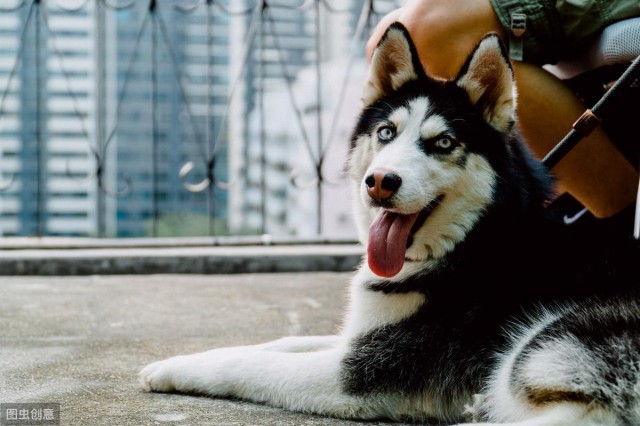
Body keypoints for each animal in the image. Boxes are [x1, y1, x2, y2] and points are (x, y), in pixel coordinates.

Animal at [141, 24, 640, 426]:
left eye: (443, 143)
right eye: (386, 133)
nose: (380, 182)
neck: (474, 242)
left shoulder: (363, 372)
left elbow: (250, 367)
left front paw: (176, 368)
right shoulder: (362, 338)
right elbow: (279, 342)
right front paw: (177, 360)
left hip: (540, 343)